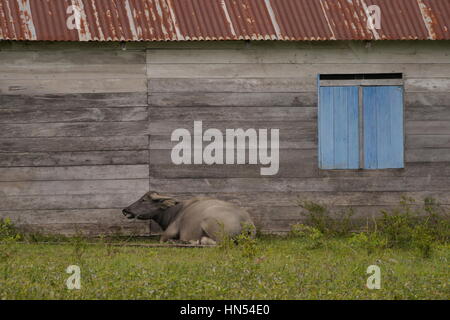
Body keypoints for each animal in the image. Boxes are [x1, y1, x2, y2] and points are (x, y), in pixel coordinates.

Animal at [123, 192, 255, 245]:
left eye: (143, 199)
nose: (125, 210)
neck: (176, 211)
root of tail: (247, 222)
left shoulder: (169, 232)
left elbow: (162, 239)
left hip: (207, 222)